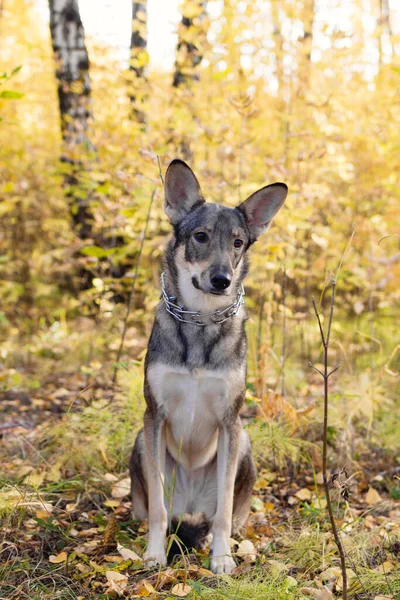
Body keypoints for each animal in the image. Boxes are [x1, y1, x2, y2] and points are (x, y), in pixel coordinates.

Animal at [129, 159, 288, 572]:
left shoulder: (230, 422)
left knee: (223, 512)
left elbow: (224, 512)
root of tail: (190, 508)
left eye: (238, 242)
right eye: (200, 236)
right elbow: (158, 510)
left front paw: (222, 558)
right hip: (141, 442)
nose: (222, 280)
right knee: (160, 508)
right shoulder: (154, 415)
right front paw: (154, 553)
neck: (199, 321)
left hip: (244, 442)